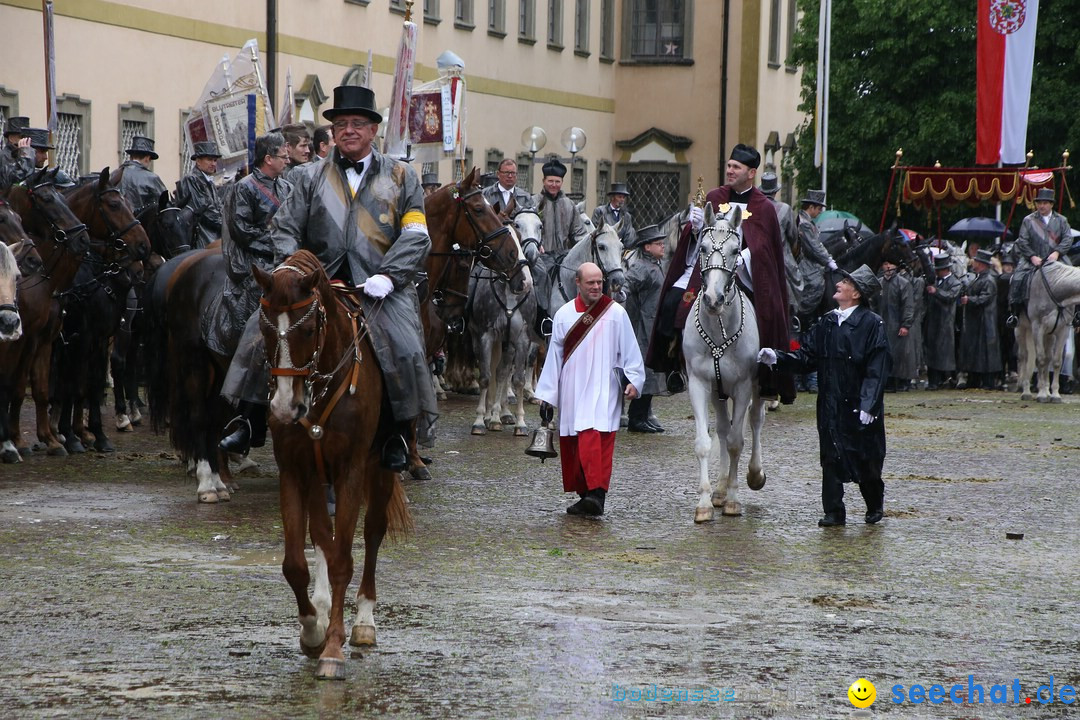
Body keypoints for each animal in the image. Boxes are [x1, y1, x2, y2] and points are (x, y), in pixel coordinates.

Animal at [250, 252, 410, 682]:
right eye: (264, 327)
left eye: (307, 330)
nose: (284, 408)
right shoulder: (294, 471)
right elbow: (296, 563)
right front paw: (312, 631)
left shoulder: (350, 470)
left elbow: (342, 560)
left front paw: (334, 649)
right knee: (323, 534)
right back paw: (322, 611)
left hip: (379, 469)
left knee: (371, 533)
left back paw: (364, 621)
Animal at [682, 202, 768, 524]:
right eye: (703, 247)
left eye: (734, 250)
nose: (713, 299)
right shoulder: (698, 383)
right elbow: (706, 443)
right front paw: (706, 501)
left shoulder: (743, 386)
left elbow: (735, 442)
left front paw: (733, 499)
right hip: (718, 392)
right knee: (721, 427)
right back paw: (718, 490)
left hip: (758, 384)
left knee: (755, 421)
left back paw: (754, 474)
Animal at [1010, 262, 1080, 403]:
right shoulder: (1038, 327)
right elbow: (1040, 360)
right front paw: (1041, 394)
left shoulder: (1062, 330)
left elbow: (1056, 361)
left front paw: (1055, 395)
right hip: (1021, 329)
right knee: (1024, 356)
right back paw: (1026, 392)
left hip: (1049, 335)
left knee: (1048, 359)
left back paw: (1047, 392)